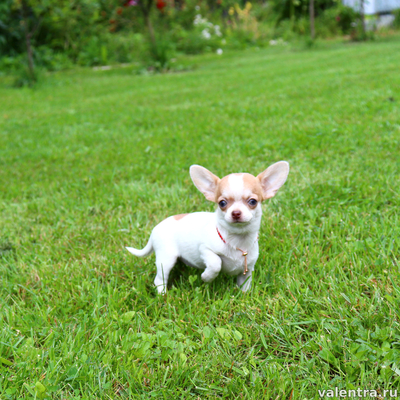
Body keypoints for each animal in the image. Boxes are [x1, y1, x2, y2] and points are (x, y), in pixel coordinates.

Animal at [126, 161, 290, 296]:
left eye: (253, 201)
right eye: (222, 203)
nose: (236, 213)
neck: (237, 240)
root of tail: (155, 229)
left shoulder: (247, 268)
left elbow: (245, 285)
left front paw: (244, 296)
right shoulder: (205, 250)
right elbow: (216, 263)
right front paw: (206, 277)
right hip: (166, 258)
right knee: (160, 278)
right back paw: (163, 294)